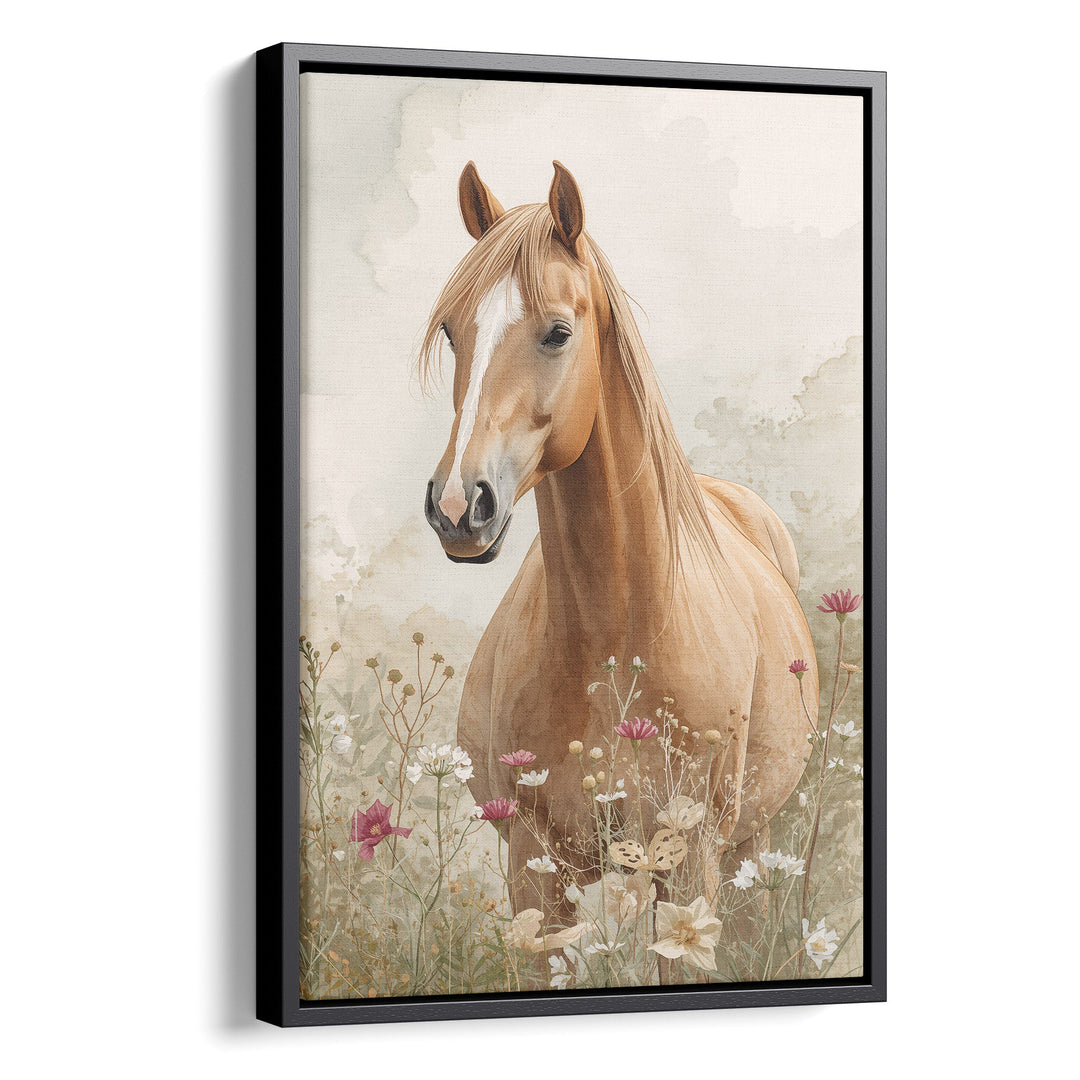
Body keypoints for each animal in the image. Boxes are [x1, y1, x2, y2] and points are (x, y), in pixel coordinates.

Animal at [420, 161, 819, 947]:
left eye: (558, 332)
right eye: (452, 332)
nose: (456, 507)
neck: (615, 632)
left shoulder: (688, 862)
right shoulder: (536, 867)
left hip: (747, 847)